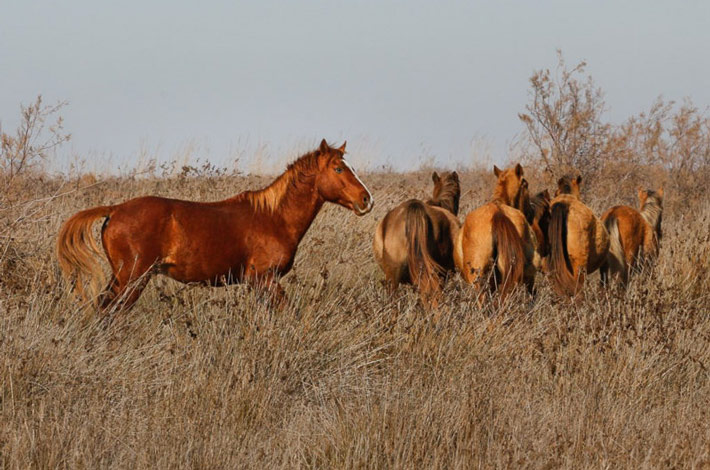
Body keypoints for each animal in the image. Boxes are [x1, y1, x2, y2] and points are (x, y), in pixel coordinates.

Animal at [58, 138, 376, 310]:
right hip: (132, 279)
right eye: (338, 168)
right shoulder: (264, 280)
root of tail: (115, 210)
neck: (274, 217)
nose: (367, 200)